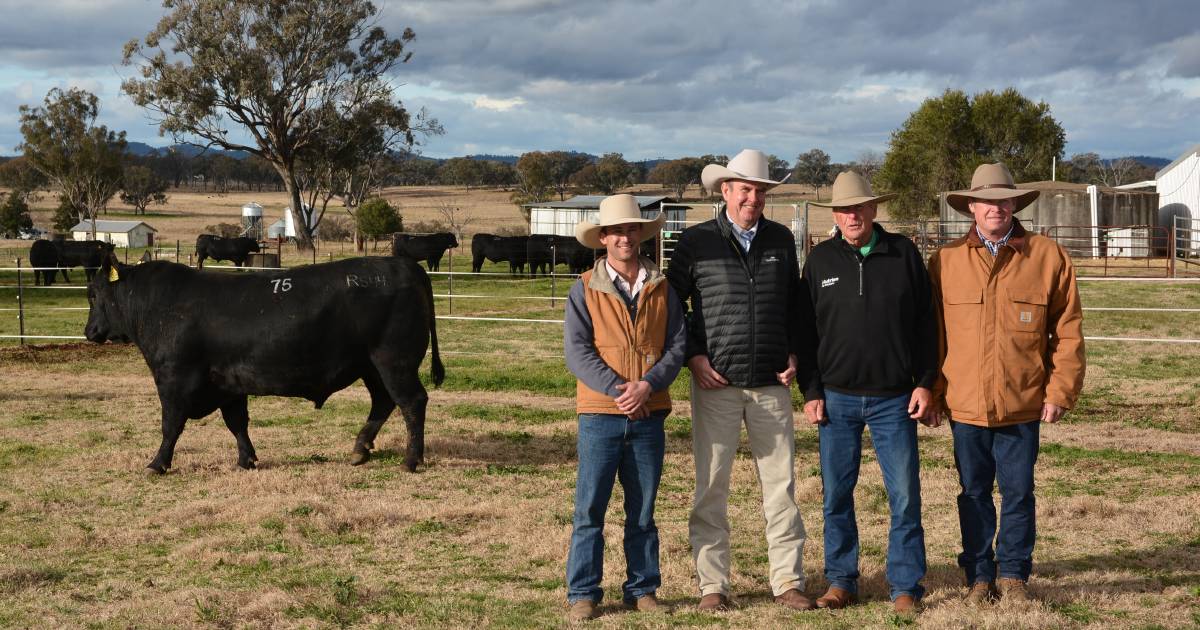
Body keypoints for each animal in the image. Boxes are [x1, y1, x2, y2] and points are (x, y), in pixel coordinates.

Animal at [83, 253, 446, 475]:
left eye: (94, 294)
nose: (89, 331)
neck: (159, 306)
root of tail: (405, 265)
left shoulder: (173, 379)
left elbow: (171, 424)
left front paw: (157, 463)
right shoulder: (228, 384)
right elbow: (237, 423)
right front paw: (246, 459)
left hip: (393, 362)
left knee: (412, 402)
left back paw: (411, 460)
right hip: (372, 367)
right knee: (384, 402)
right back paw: (360, 449)